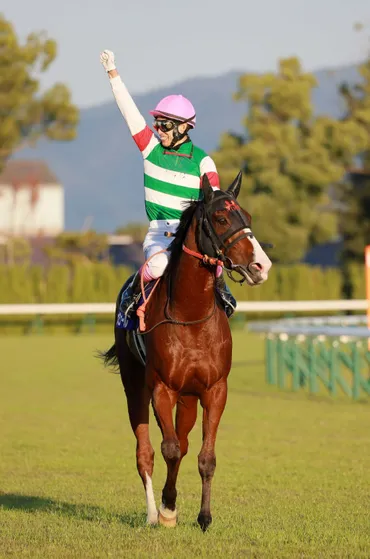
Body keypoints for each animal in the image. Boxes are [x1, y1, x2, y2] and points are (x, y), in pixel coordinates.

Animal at [99, 173, 272, 532]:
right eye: (221, 218)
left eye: (247, 216)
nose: (261, 265)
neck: (191, 315)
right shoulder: (162, 389)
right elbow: (169, 449)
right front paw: (167, 509)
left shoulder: (215, 389)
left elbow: (205, 456)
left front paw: (204, 516)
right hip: (134, 388)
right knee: (146, 452)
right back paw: (154, 513)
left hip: (189, 397)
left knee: (184, 440)